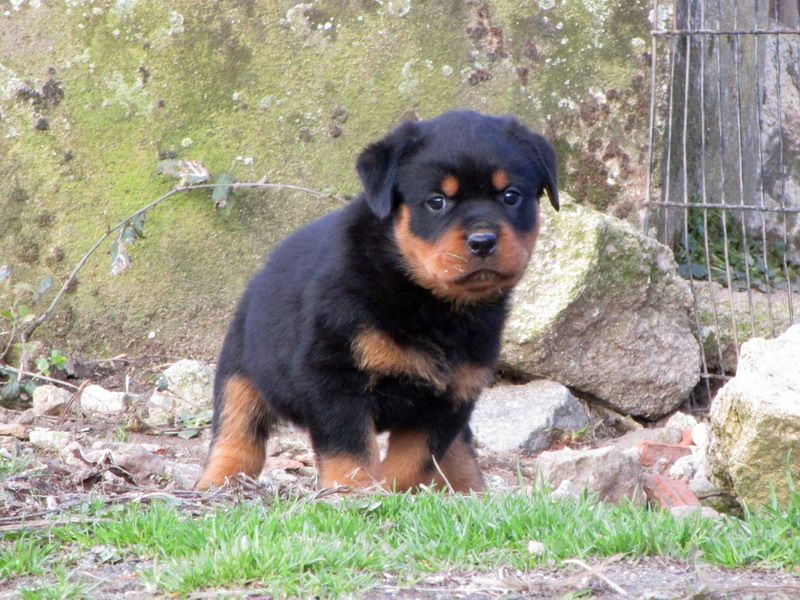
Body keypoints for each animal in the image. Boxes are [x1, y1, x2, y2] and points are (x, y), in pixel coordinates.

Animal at [196, 110, 558, 492]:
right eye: (437, 201)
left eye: (511, 196)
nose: (483, 240)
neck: (428, 301)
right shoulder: (334, 375)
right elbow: (349, 449)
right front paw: (352, 492)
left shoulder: (451, 394)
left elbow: (416, 457)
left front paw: (393, 492)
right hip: (241, 367)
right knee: (237, 430)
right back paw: (219, 481)